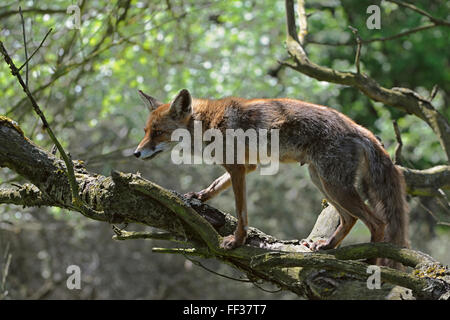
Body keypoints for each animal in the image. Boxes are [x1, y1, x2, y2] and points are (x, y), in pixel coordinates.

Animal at [133, 89, 408, 262]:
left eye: (158, 133)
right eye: (146, 131)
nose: (136, 153)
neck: (208, 123)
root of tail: (359, 127)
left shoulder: (237, 168)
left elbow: (241, 212)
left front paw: (237, 241)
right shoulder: (247, 166)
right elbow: (215, 185)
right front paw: (199, 197)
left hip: (334, 186)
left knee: (377, 222)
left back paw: (370, 261)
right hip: (320, 181)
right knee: (350, 219)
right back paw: (328, 246)